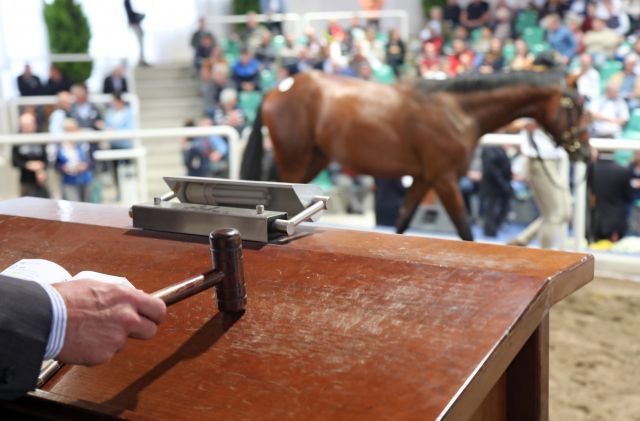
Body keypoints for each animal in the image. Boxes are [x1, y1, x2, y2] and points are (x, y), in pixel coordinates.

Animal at [241, 69, 592, 240]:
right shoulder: (445, 180)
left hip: (313, 160)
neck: (459, 109)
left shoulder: (424, 178)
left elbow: (403, 221)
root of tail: (277, 88)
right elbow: (465, 229)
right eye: (577, 106)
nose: (586, 154)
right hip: (296, 161)